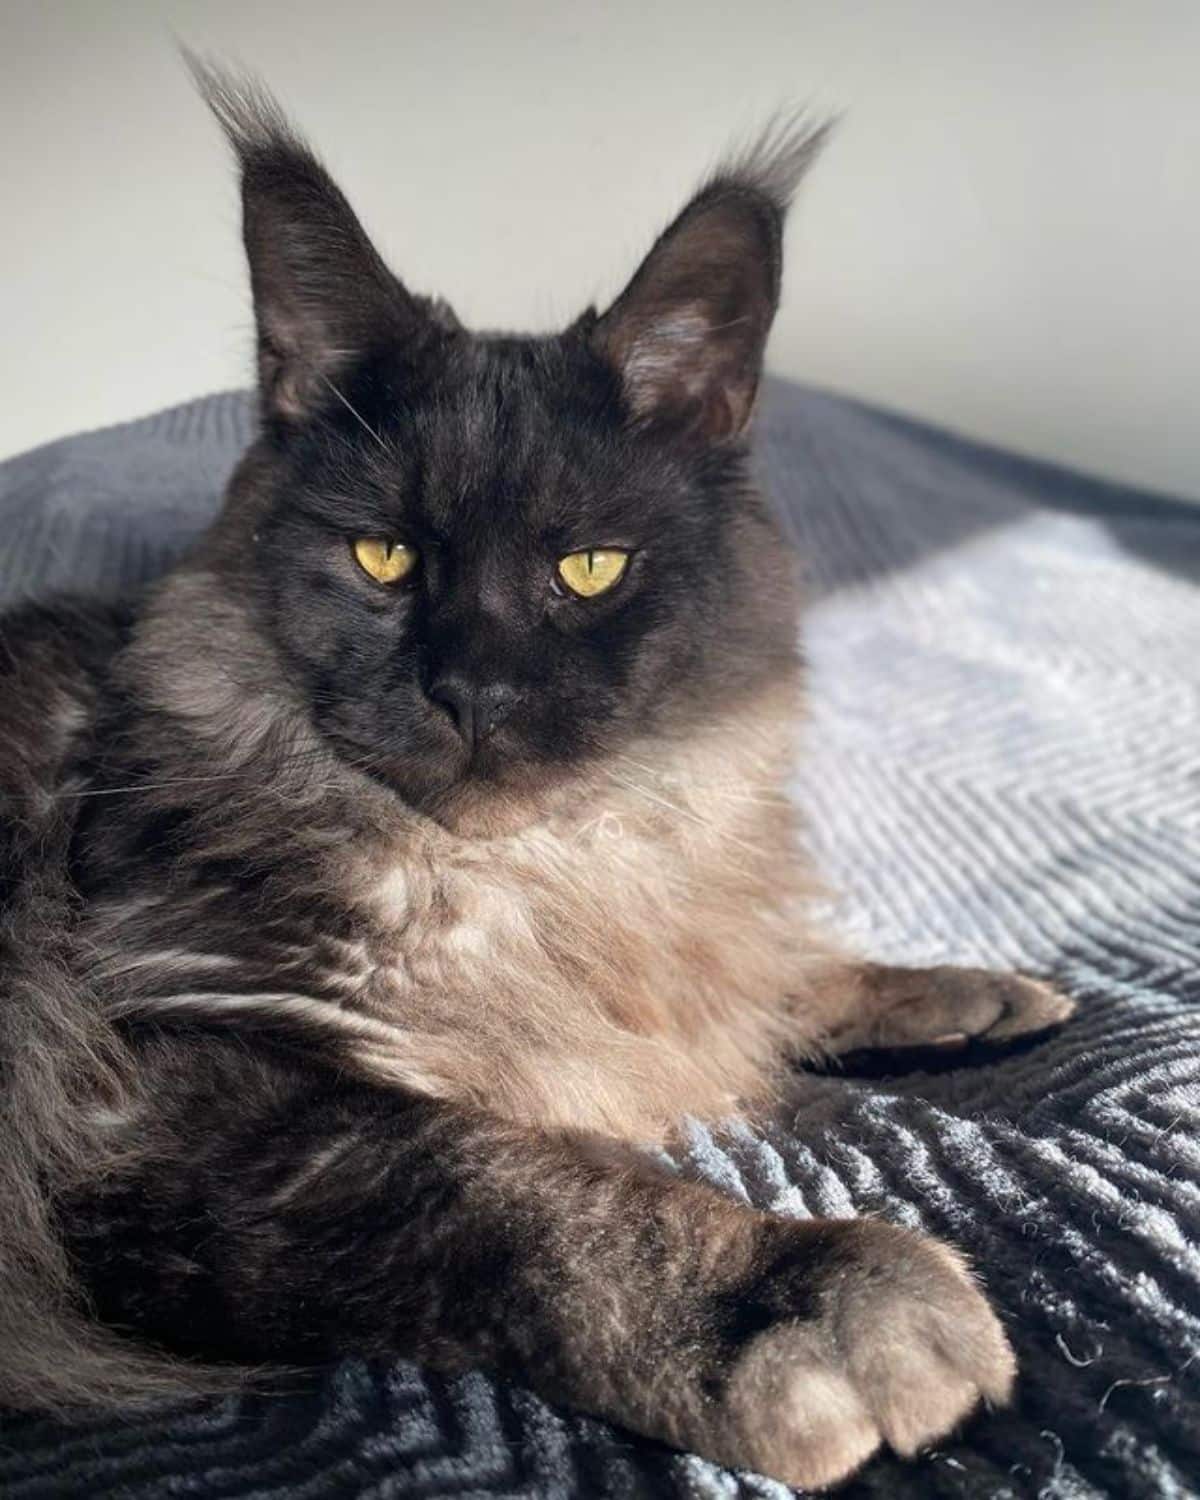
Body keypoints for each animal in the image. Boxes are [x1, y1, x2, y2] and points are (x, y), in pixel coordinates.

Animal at [0, 61, 1074, 1488]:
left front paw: (973, 993)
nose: (472, 688)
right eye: (386, 557)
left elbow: (771, 969)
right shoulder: (157, 1091)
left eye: (589, 569)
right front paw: (812, 1298)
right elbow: (525, 1189)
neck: (534, 871)